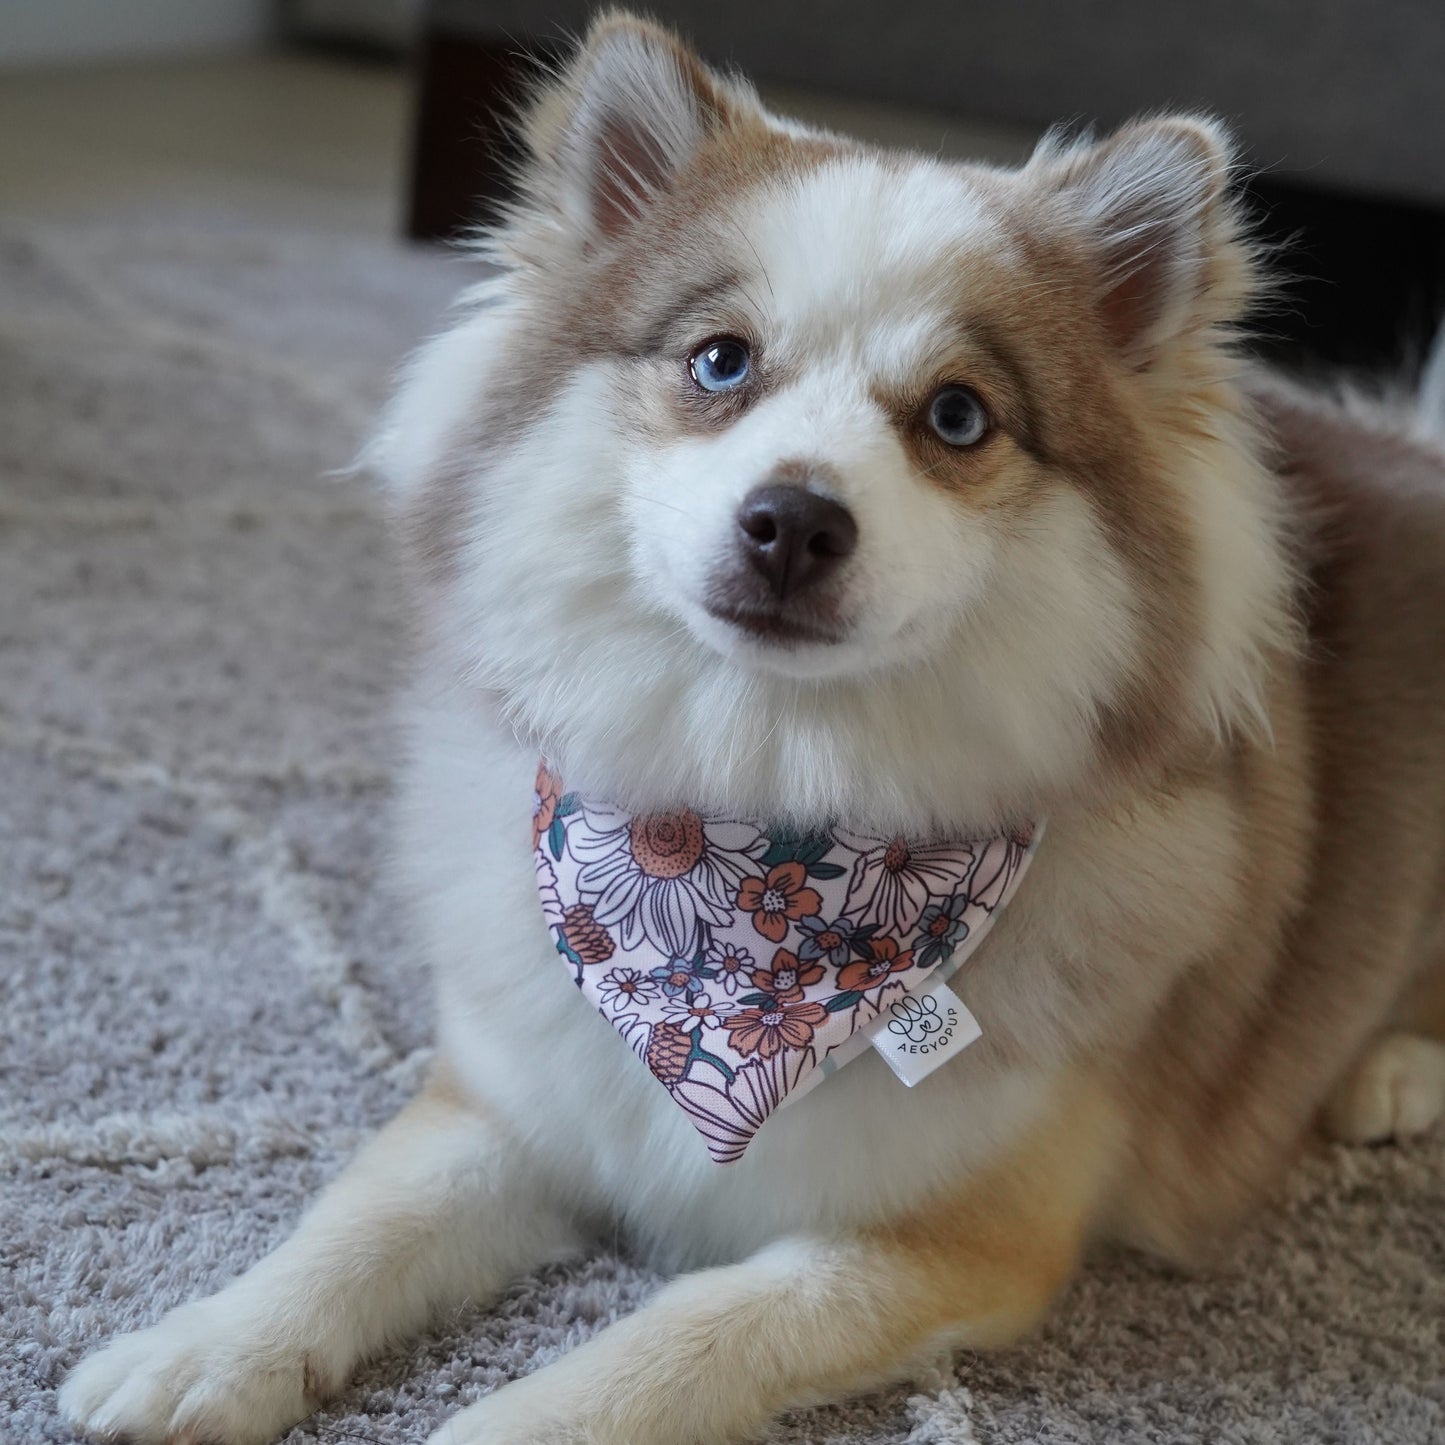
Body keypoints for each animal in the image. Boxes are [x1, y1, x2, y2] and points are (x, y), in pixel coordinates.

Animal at [56, 11, 1445, 1445]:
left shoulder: (940, 1244)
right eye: (718, 360)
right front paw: (204, 1344)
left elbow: (686, 1331)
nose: (793, 520)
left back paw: (1392, 1073)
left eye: (958, 415)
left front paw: (509, 1419)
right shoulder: (507, 1103)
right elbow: (359, 1223)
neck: (744, 858)